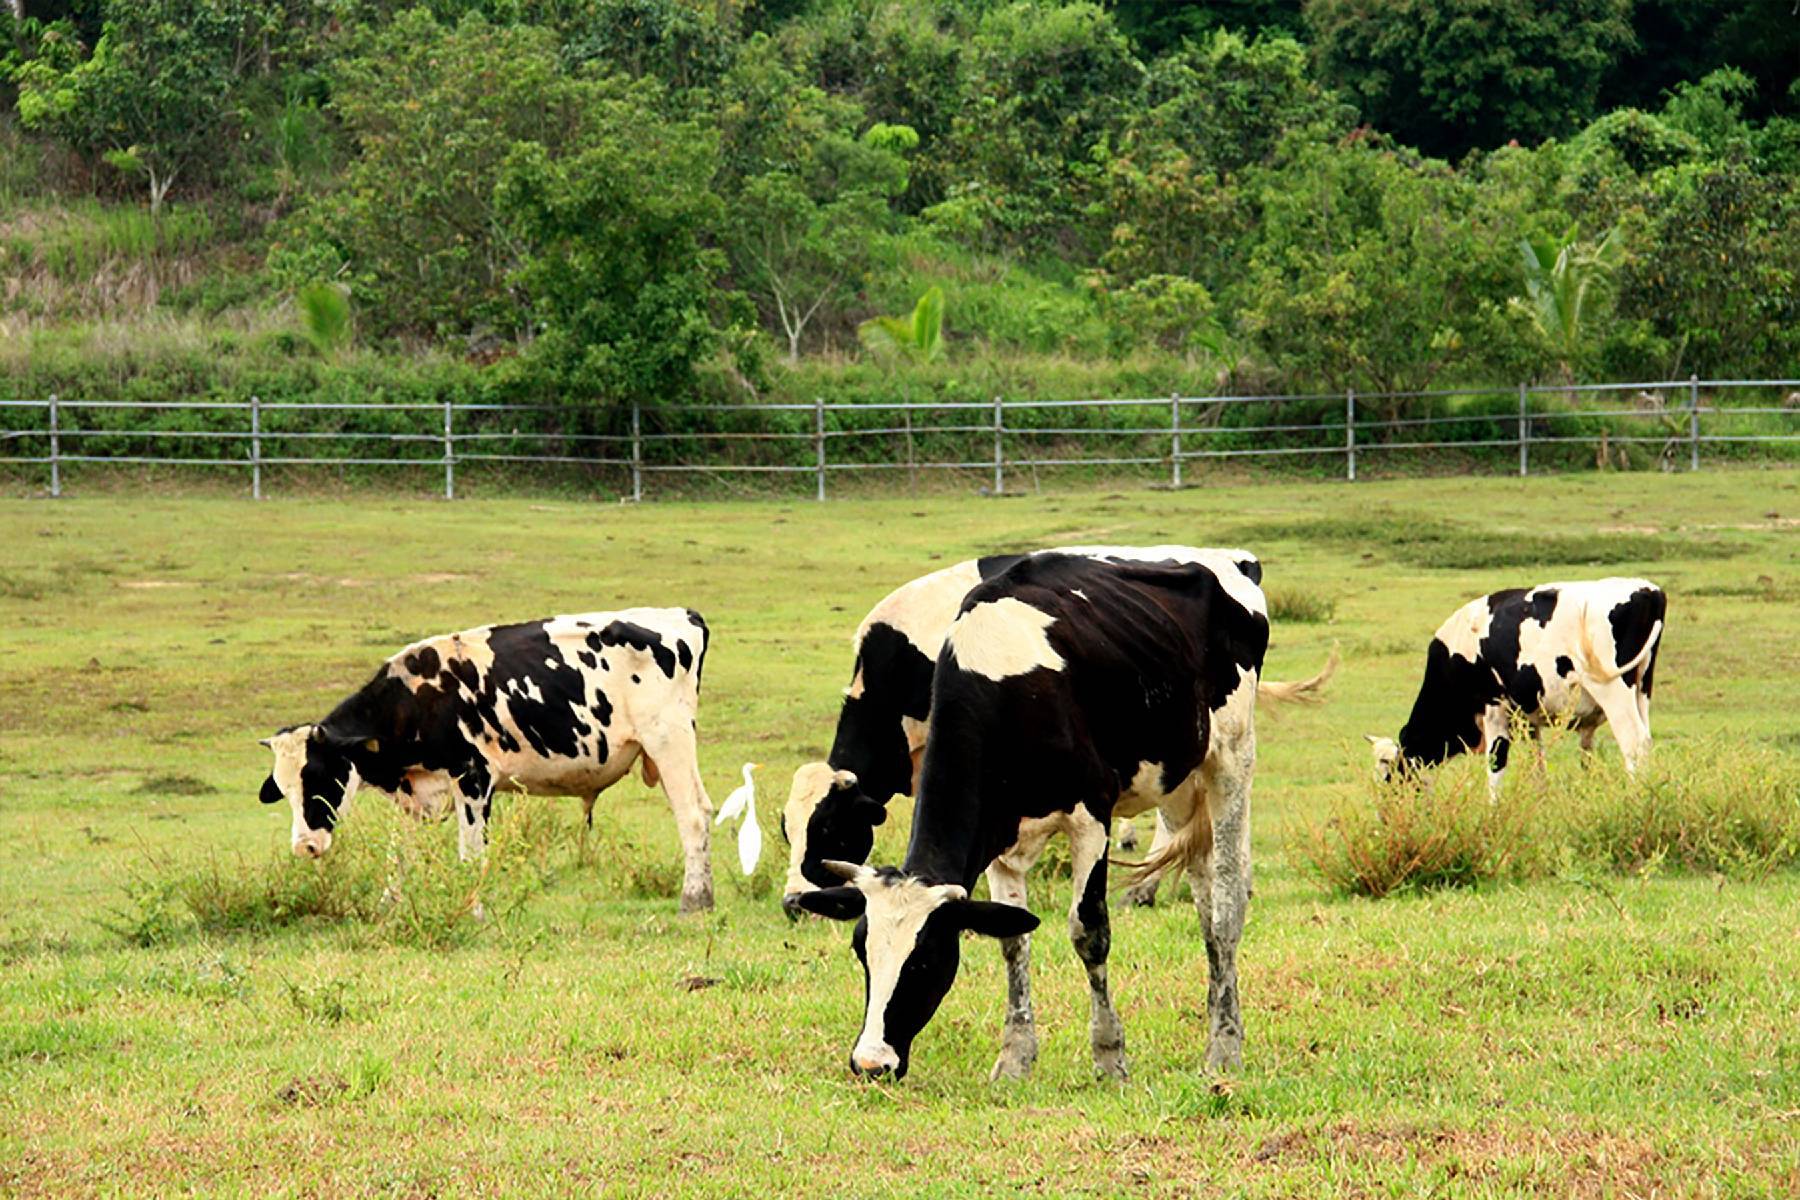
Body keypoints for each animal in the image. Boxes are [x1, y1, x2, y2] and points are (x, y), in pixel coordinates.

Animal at [262, 611, 723, 910]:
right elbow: (398, 855)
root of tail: (679, 616)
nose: (304, 846)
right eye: (284, 789)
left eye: (320, 774)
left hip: (668, 741)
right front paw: (387, 906)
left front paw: (473, 910)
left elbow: (470, 856)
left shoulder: (473, 779)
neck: (415, 699)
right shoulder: (413, 794)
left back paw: (694, 898)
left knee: (693, 814)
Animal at [795, 557, 1274, 1086]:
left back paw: (1224, 1046)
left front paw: (1109, 1057)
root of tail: (1231, 562)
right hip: (1178, 782)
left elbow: (1090, 933)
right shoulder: (1000, 837)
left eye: (925, 960)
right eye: (862, 950)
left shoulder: (1092, 818)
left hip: (1231, 762)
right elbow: (1012, 938)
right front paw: (1014, 1056)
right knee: (1204, 902)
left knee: (1227, 905)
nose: (871, 1063)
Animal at [1368, 579, 1663, 791]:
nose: (1386, 817)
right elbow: (1538, 763)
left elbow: (1496, 764)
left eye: (1390, 778)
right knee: (1646, 740)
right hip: (1641, 690)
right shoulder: (1530, 718)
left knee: (1633, 743)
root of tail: (1648, 590)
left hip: (1613, 690)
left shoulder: (1493, 707)